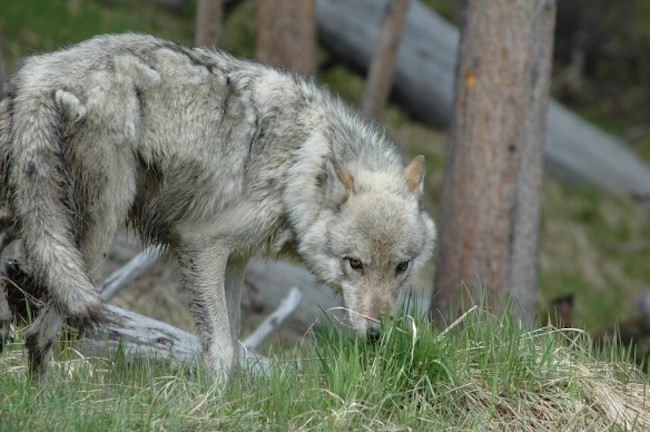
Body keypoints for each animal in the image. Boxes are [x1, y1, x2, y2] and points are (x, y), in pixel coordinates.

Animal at [0, 33, 436, 378]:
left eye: (401, 267)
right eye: (355, 264)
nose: (376, 335)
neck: (297, 165)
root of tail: (44, 69)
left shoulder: (236, 261)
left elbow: (234, 347)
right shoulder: (201, 245)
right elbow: (224, 352)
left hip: (34, 223)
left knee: (30, 331)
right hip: (92, 244)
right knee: (40, 334)